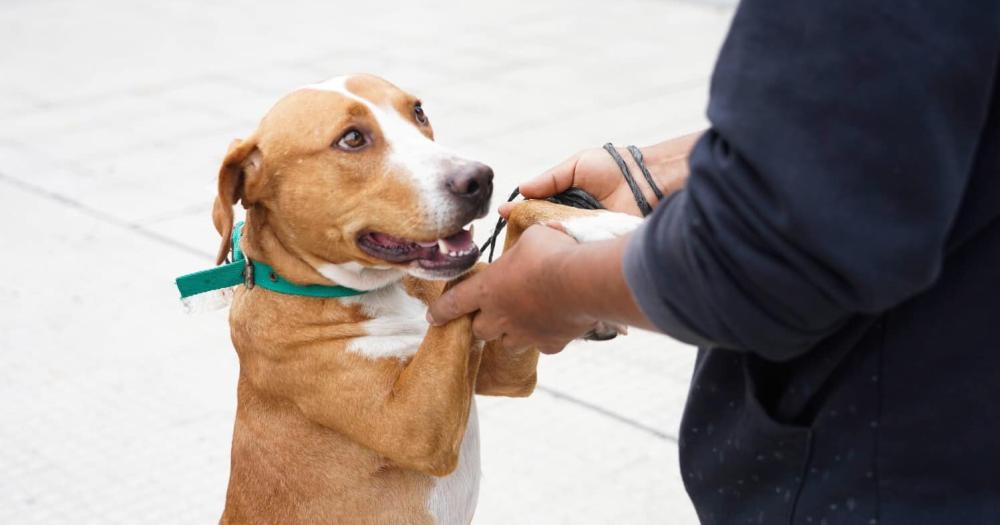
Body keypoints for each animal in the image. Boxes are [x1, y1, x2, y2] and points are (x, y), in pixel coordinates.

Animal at [210, 73, 640, 524]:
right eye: (352, 139)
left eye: (417, 111)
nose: (479, 178)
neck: (385, 289)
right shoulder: (414, 426)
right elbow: (478, 271)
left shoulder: (505, 373)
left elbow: (522, 212)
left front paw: (595, 224)